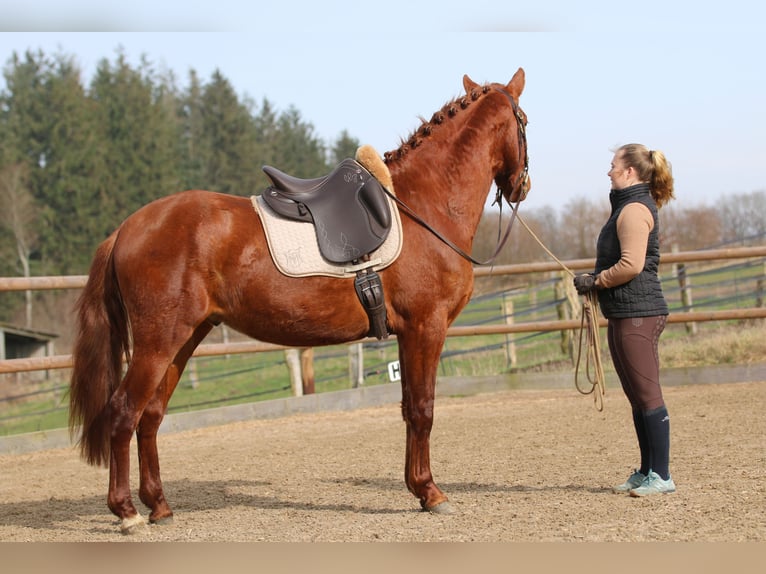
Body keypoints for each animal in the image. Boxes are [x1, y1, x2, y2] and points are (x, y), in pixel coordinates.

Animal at [69, 68, 532, 536]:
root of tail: (125, 229)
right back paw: (127, 512)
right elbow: (422, 410)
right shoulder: (425, 327)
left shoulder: (408, 334)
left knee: (150, 416)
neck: (422, 204)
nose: (522, 187)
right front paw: (430, 493)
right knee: (123, 413)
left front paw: (418, 488)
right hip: (157, 343)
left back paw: (159, 505)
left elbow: (407, 408)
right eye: (524, 120)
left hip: (182, 341)